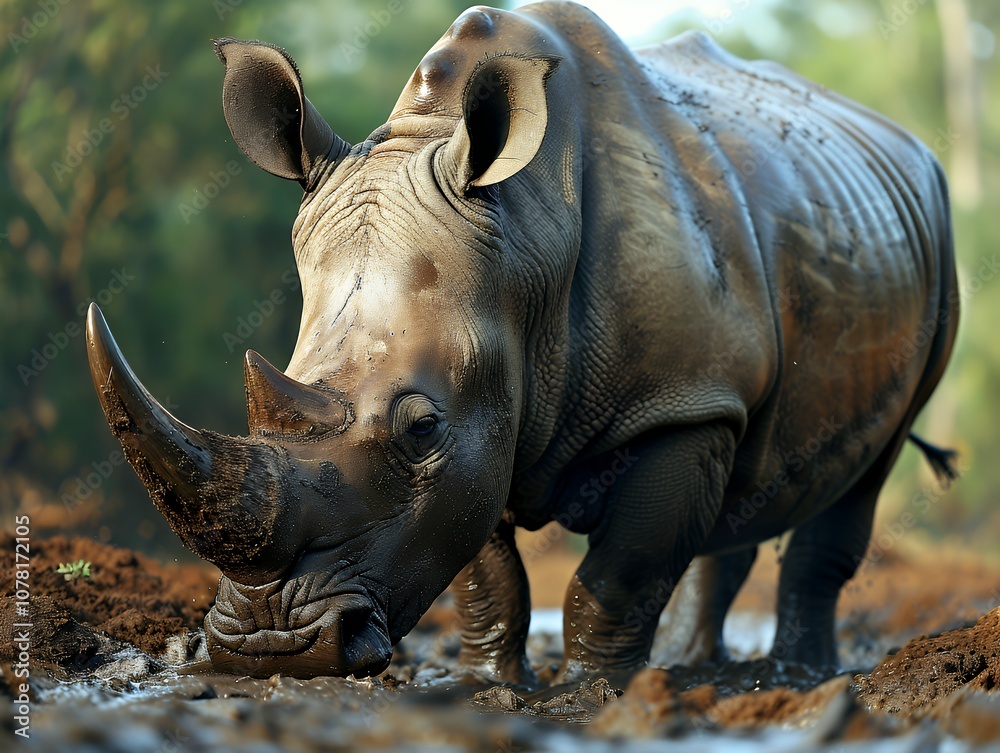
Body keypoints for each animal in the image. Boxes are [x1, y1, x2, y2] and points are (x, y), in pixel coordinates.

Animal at [86, 2, 958, 683]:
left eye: (420, 427)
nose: (273, 646)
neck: (528, 235)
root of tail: (908, 143)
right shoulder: (492, 409)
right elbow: (485, 567)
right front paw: (490, 683)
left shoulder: (683, 400)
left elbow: (621, 568)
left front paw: (596, 690)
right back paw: (696, 667)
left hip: (932, 259)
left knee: (866, 473)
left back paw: (796, 675)